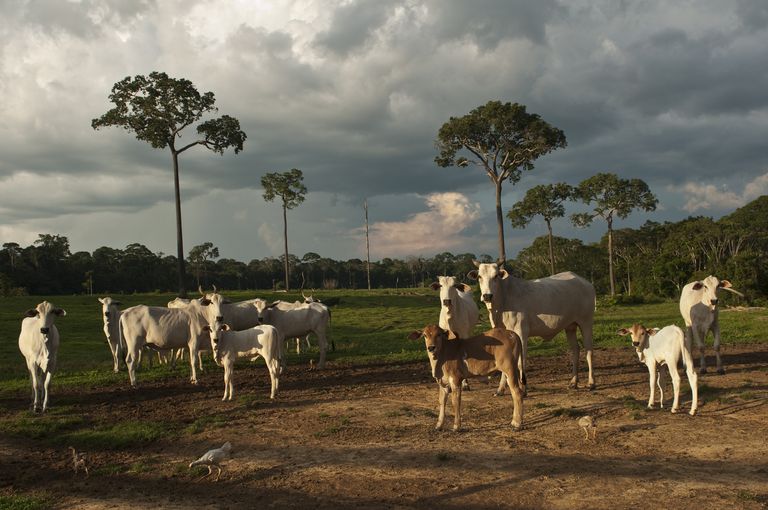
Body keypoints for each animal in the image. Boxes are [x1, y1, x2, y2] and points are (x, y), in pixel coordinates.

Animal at [468, 258, 592, 390]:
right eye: (479, 276)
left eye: (496, 276)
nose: (487, 296)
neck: (503, 300)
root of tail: (584, 282)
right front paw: (500, 389)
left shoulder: (521, 333)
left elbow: (520, 362)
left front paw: (522, 387)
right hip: (570, 326)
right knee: (575, 349)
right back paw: (573, 381)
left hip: (586, 322)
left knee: (589, 350)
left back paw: (591, 383)